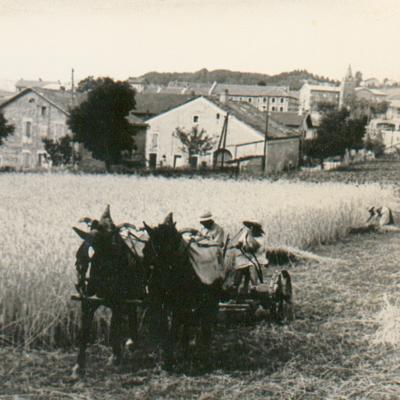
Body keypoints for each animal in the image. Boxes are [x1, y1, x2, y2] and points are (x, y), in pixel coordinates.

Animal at [70, 206, 145, 378]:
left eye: (114, 233)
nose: (80, 265)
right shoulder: (89, 301)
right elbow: (84, 332)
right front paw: (79, 366)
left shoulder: (118, 302)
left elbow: (114, 328)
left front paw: (115, 356)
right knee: (132, 312)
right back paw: (132, 342)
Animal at [142, 212, 222, 368]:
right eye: (145, 251)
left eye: (169, 248)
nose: (153, 282)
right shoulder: (159, 301)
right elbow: (163, 326)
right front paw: (166, 357)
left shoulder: (179, 302)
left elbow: (174, 326)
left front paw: (170, 359)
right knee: (187, 322)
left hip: (209, 298)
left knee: (205, 322)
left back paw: (203, 354)